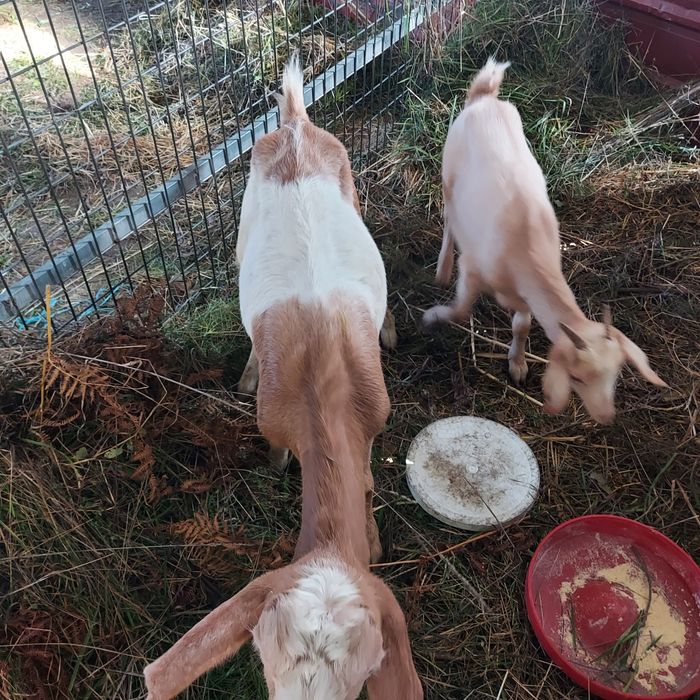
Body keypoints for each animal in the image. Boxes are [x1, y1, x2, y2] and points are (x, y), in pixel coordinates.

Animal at [143, 54, 422, 700]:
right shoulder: (275, 421)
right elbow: (279, 449)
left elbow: (367, 477)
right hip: (245, 221)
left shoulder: (376, 417)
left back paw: (390, 330)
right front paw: (277, 468)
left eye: (361, 678)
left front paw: (373, 537)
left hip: (348, 184)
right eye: (266, 667)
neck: (326, 390)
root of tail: (294, 123)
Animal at [423, 58, 666, 424]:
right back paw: (442, 266)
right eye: (577, 377)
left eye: (616, 374)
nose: (606, 417)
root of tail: (484, 97)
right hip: (448, 175)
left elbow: (522, 327)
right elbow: (462, 310)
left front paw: (518, 364)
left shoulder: (526, 296)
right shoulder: (474, 270)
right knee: (450, 219)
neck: (527, 251)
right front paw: (434, 317)